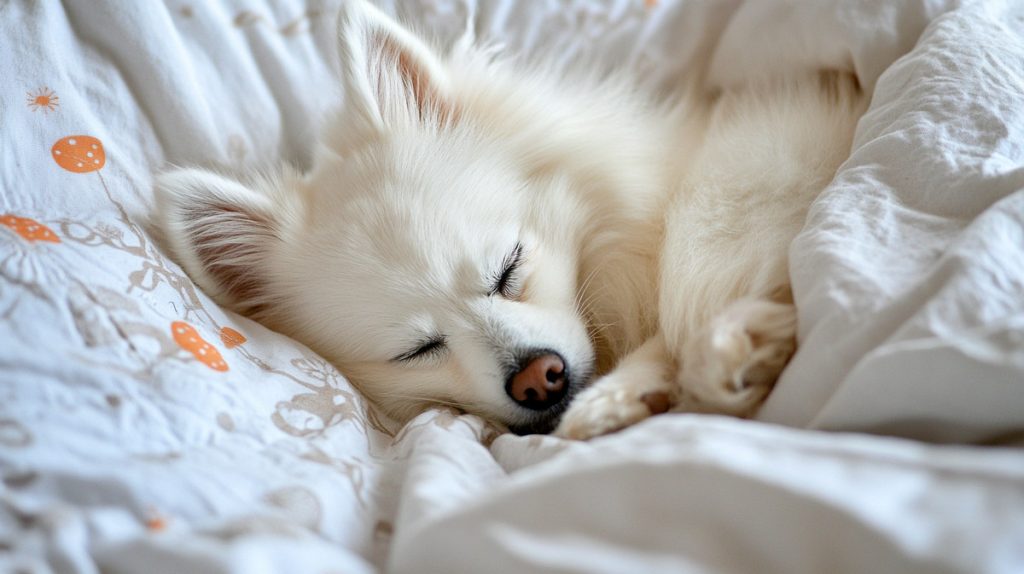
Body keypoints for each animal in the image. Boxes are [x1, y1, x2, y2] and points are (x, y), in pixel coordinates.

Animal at [155, 1, 868, 437]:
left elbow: (682, 318)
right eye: (418, 350)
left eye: (509, 268)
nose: (538, 378)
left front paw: (697, 360)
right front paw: (630, 396)